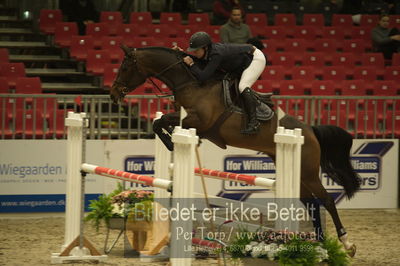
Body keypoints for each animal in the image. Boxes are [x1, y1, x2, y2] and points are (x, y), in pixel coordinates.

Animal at [108, 45, 360, 256]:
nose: (113, 94)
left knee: (326, 200)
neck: (191, 83)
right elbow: (159, 122)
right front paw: (171, 138)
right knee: (311, 204)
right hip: (297, 174)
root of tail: (309, 130)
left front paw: (172, 142)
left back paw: (346, 244)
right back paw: (319, 244)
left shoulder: (199, 121)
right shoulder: (186, 117)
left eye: (125, 67)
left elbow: (162, 123)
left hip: (307, 172)